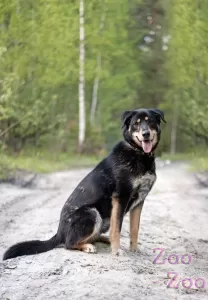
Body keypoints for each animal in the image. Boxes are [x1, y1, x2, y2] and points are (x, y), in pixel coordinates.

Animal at [2, 108, 166, 260]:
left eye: (150, 121)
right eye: (136, 124)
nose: (146, 134)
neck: (139, 154)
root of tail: (59, 233)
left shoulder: (139, 201)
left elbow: (134, 228)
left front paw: (134, 249)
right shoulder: (121, 197)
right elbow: (117, 229)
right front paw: (116, 251)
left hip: (103, 219)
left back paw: (103, 240)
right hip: (92, 213)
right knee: (69, 244)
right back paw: (88, 246)